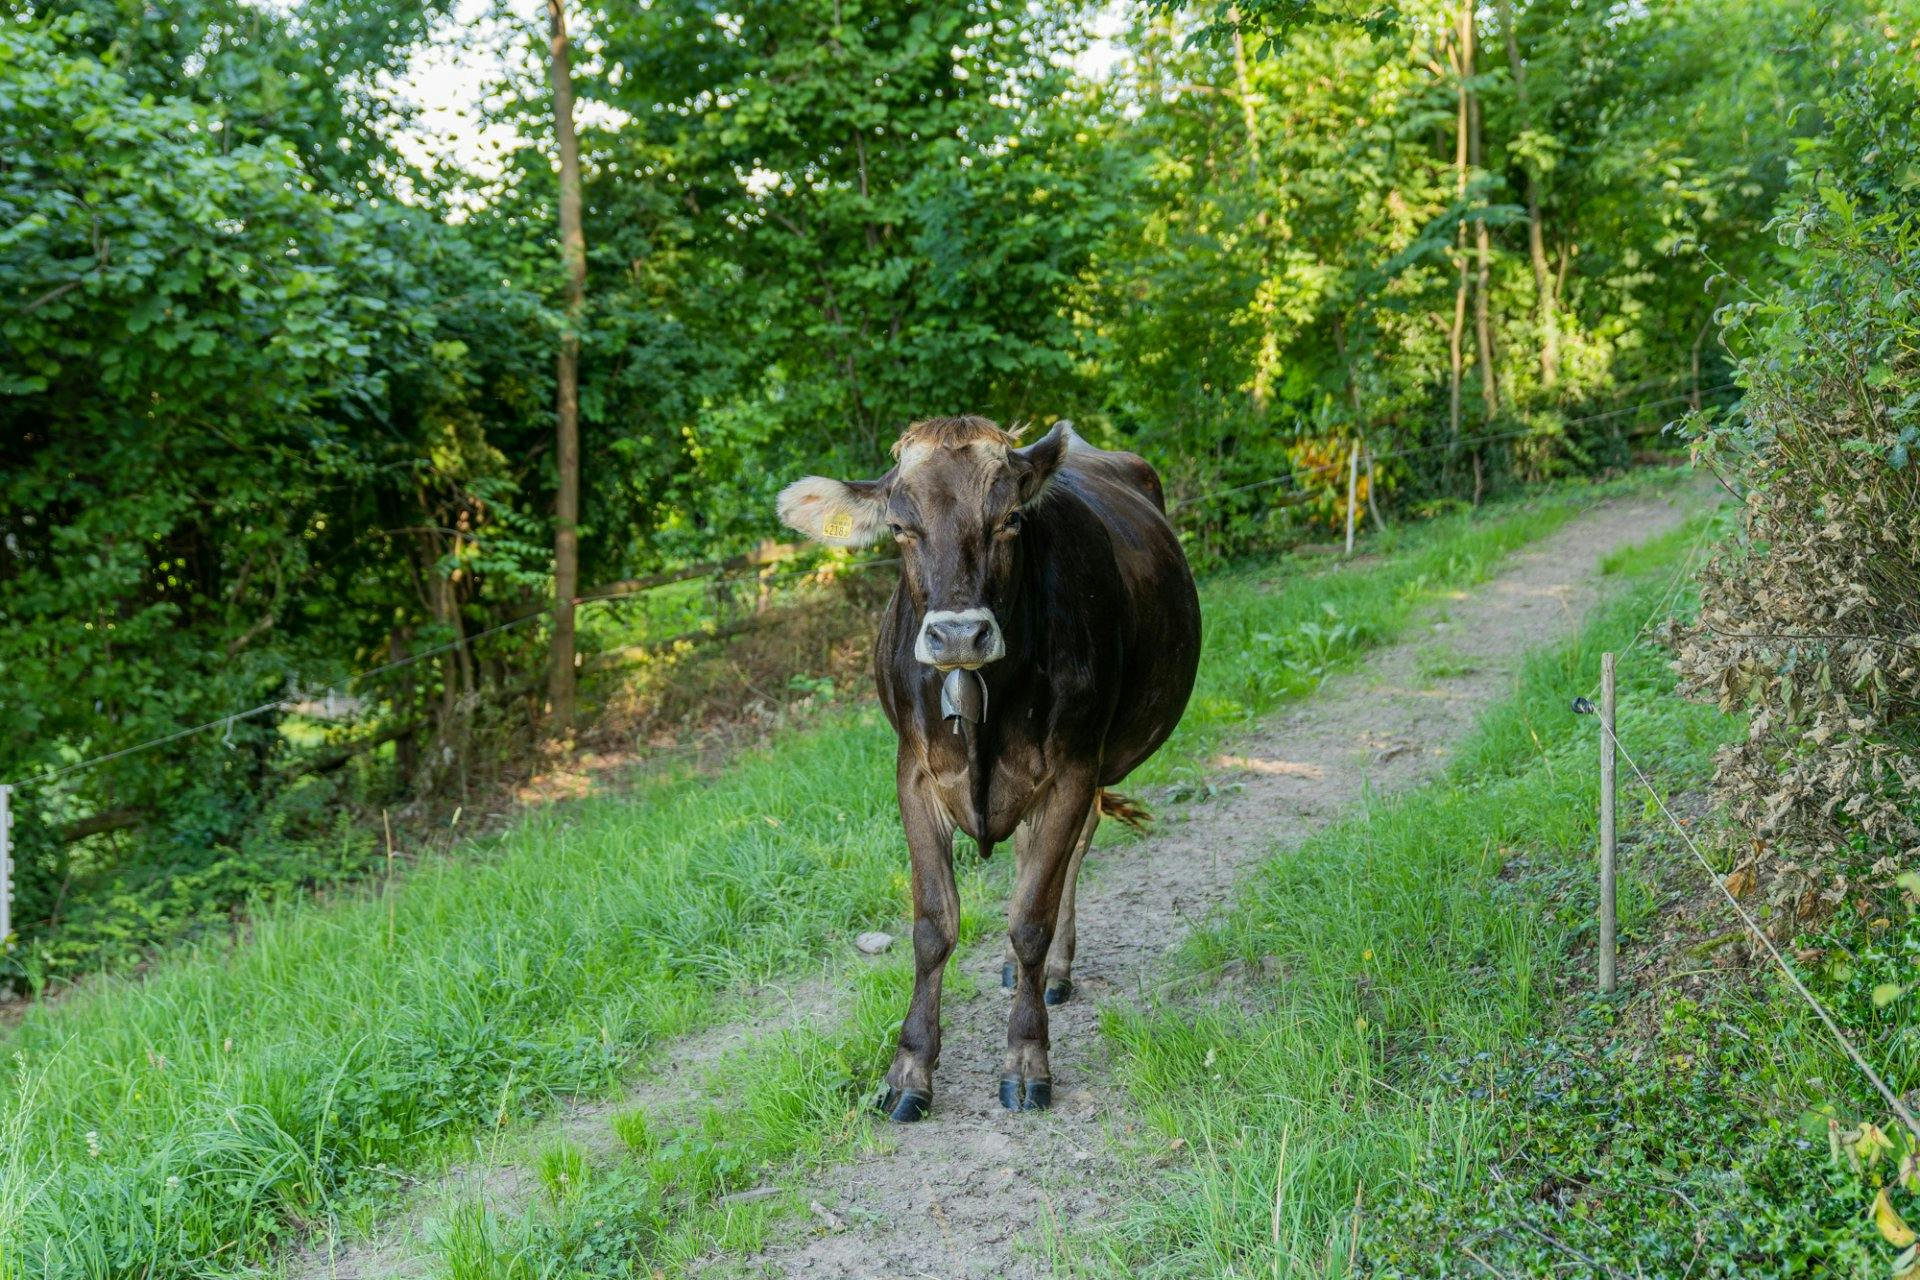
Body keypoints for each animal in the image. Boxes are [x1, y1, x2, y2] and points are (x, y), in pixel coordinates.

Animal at [777, 416, 1201, 1121]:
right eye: (900, 527)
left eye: (1010, 519)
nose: (957, 636)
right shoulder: (913, 774)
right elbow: (932, 926)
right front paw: (910, 1069)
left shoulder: (1072, 767)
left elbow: (1032, 918)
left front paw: (1026, 1058)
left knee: (1067, 863)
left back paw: (1052, 973)